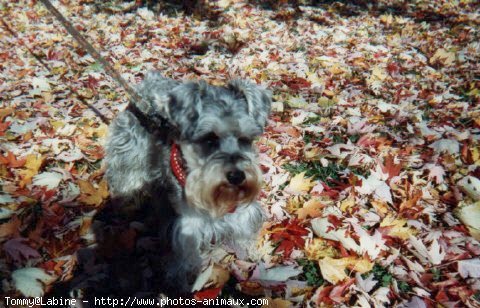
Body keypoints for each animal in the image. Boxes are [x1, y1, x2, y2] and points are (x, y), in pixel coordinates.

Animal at [103, 71, 272, 294]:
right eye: (209, 139)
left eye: (245, 138)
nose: (236, 176)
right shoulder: (188, 224)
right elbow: (186, 253)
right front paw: (183, 278)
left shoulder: (240, 210)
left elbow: (244, 227)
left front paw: (249, 251)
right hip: (128, 156)